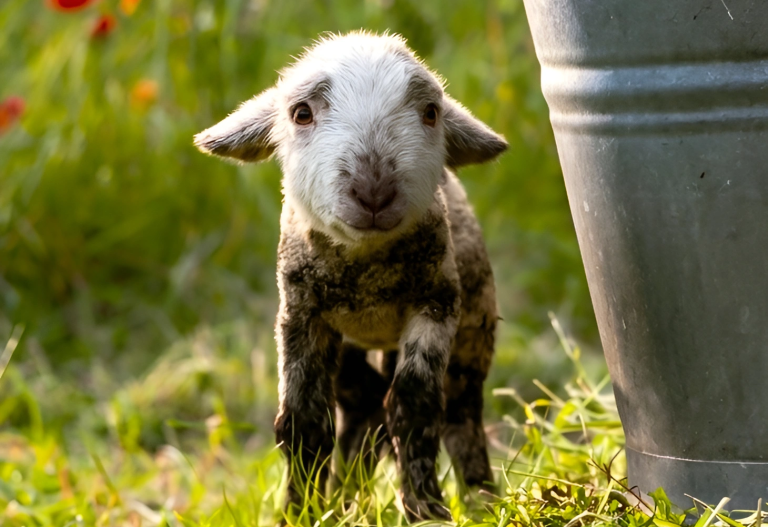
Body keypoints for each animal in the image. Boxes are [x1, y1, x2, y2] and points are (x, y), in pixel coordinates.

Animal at [194, 31, 507, 522]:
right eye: (301, 113)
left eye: (430, 113)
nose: (374, 192)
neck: (366, 273)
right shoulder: (302, 316)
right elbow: (303, 419)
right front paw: (300, 513)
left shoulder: (437, 303)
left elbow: (416, 406)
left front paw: (425, 510)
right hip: (350, 352)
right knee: (362, 409)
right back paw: (345, 500)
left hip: (473, 332)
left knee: (460, 413)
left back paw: (481, 501)